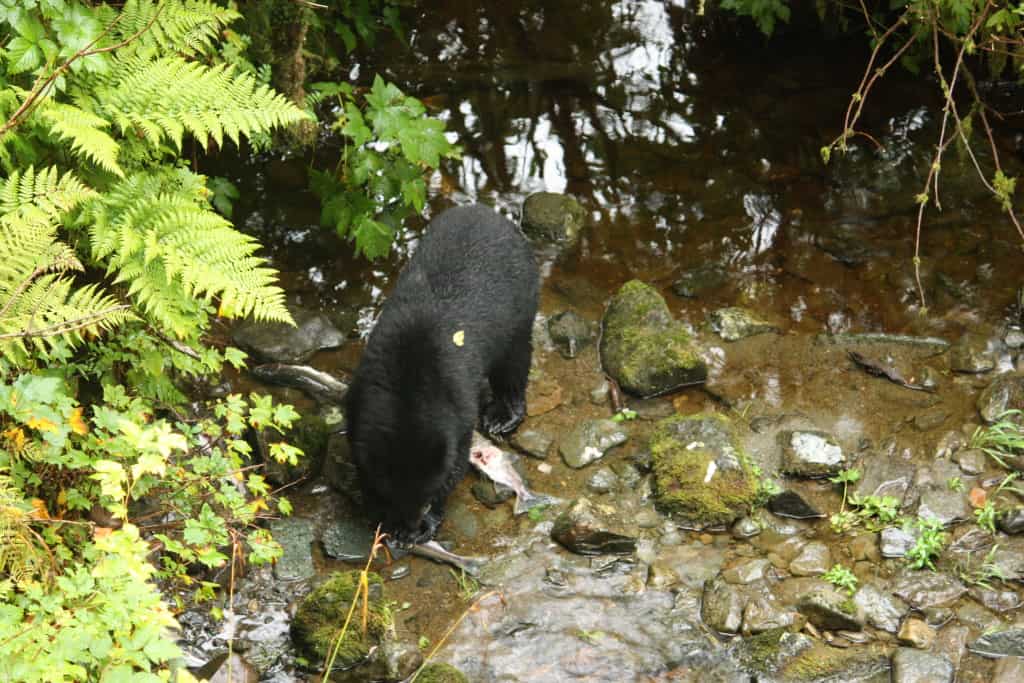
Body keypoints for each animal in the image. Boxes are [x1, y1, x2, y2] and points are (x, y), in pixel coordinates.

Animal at [345, 204, 539, 544]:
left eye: (424, 499)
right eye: (394, 496)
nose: (410, 527)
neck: (408, 393)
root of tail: (488, 212)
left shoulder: (456, 410)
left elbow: (456, 461)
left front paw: (427, 522)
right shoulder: (361, 398)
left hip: (520, 307)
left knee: (514, 361)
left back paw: (503, 416)